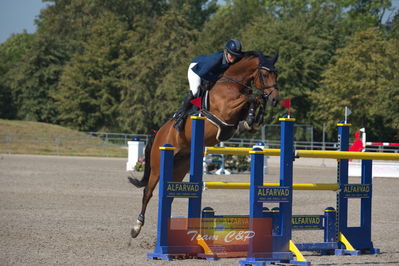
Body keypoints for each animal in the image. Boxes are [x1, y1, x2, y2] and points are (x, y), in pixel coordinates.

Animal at [130, 51, 280, 238]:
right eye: (265, 74)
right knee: (147, 192)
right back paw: (136, 227)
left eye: (276, 74)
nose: (275, 99)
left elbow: (254, 101)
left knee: (169, 195)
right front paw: (254, 115)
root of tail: (158, 133)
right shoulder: (226, 109)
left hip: (179, 168)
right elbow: (252, 97)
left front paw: (253, 120)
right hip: (158, 167)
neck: (232, 83)